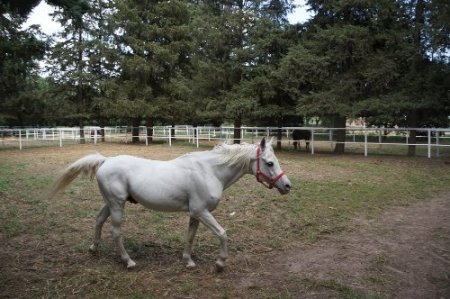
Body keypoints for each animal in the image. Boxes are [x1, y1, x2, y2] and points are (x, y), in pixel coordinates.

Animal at [48, 138, 292, 272]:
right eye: (270, 163)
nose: (287, 186)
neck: (209, 171)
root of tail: (106, 161)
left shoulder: (196, 213)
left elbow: (190, 236)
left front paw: (188, 261)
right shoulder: (201, 211)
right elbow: (222, 234)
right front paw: (220, 263)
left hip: (110, 203)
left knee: (98, 220)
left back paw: (94, 249)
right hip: (117, 205)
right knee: (116, 232)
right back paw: (129, 262)